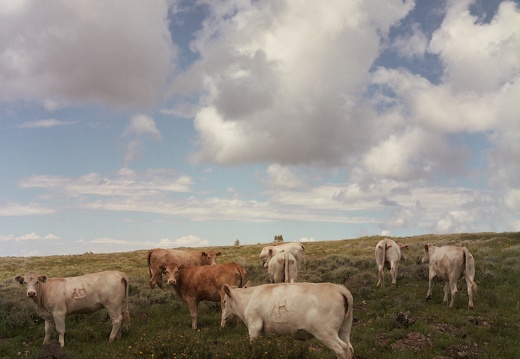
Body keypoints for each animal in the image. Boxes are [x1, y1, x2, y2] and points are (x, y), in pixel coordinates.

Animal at [221, 282, 356, 359]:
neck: (248, 298)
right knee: (349, 348)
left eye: (224, 301)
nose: (223, 319)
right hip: (344, 329)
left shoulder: (254, 326)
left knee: (341, 349)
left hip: (325, 332)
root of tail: (339, 289)